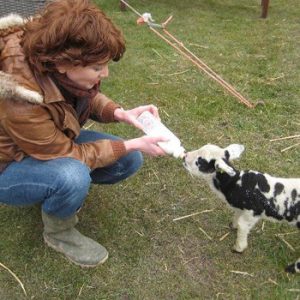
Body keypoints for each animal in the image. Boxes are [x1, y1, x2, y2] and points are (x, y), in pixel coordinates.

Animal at [183, 144, 300, 274]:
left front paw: (238, 248)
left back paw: (291, 268)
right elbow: (237, 217)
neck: (236, 183)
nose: (184, 156)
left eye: (200, 161)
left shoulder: (252, 213)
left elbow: (242, 226)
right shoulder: (242, 209)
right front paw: (232, 225)